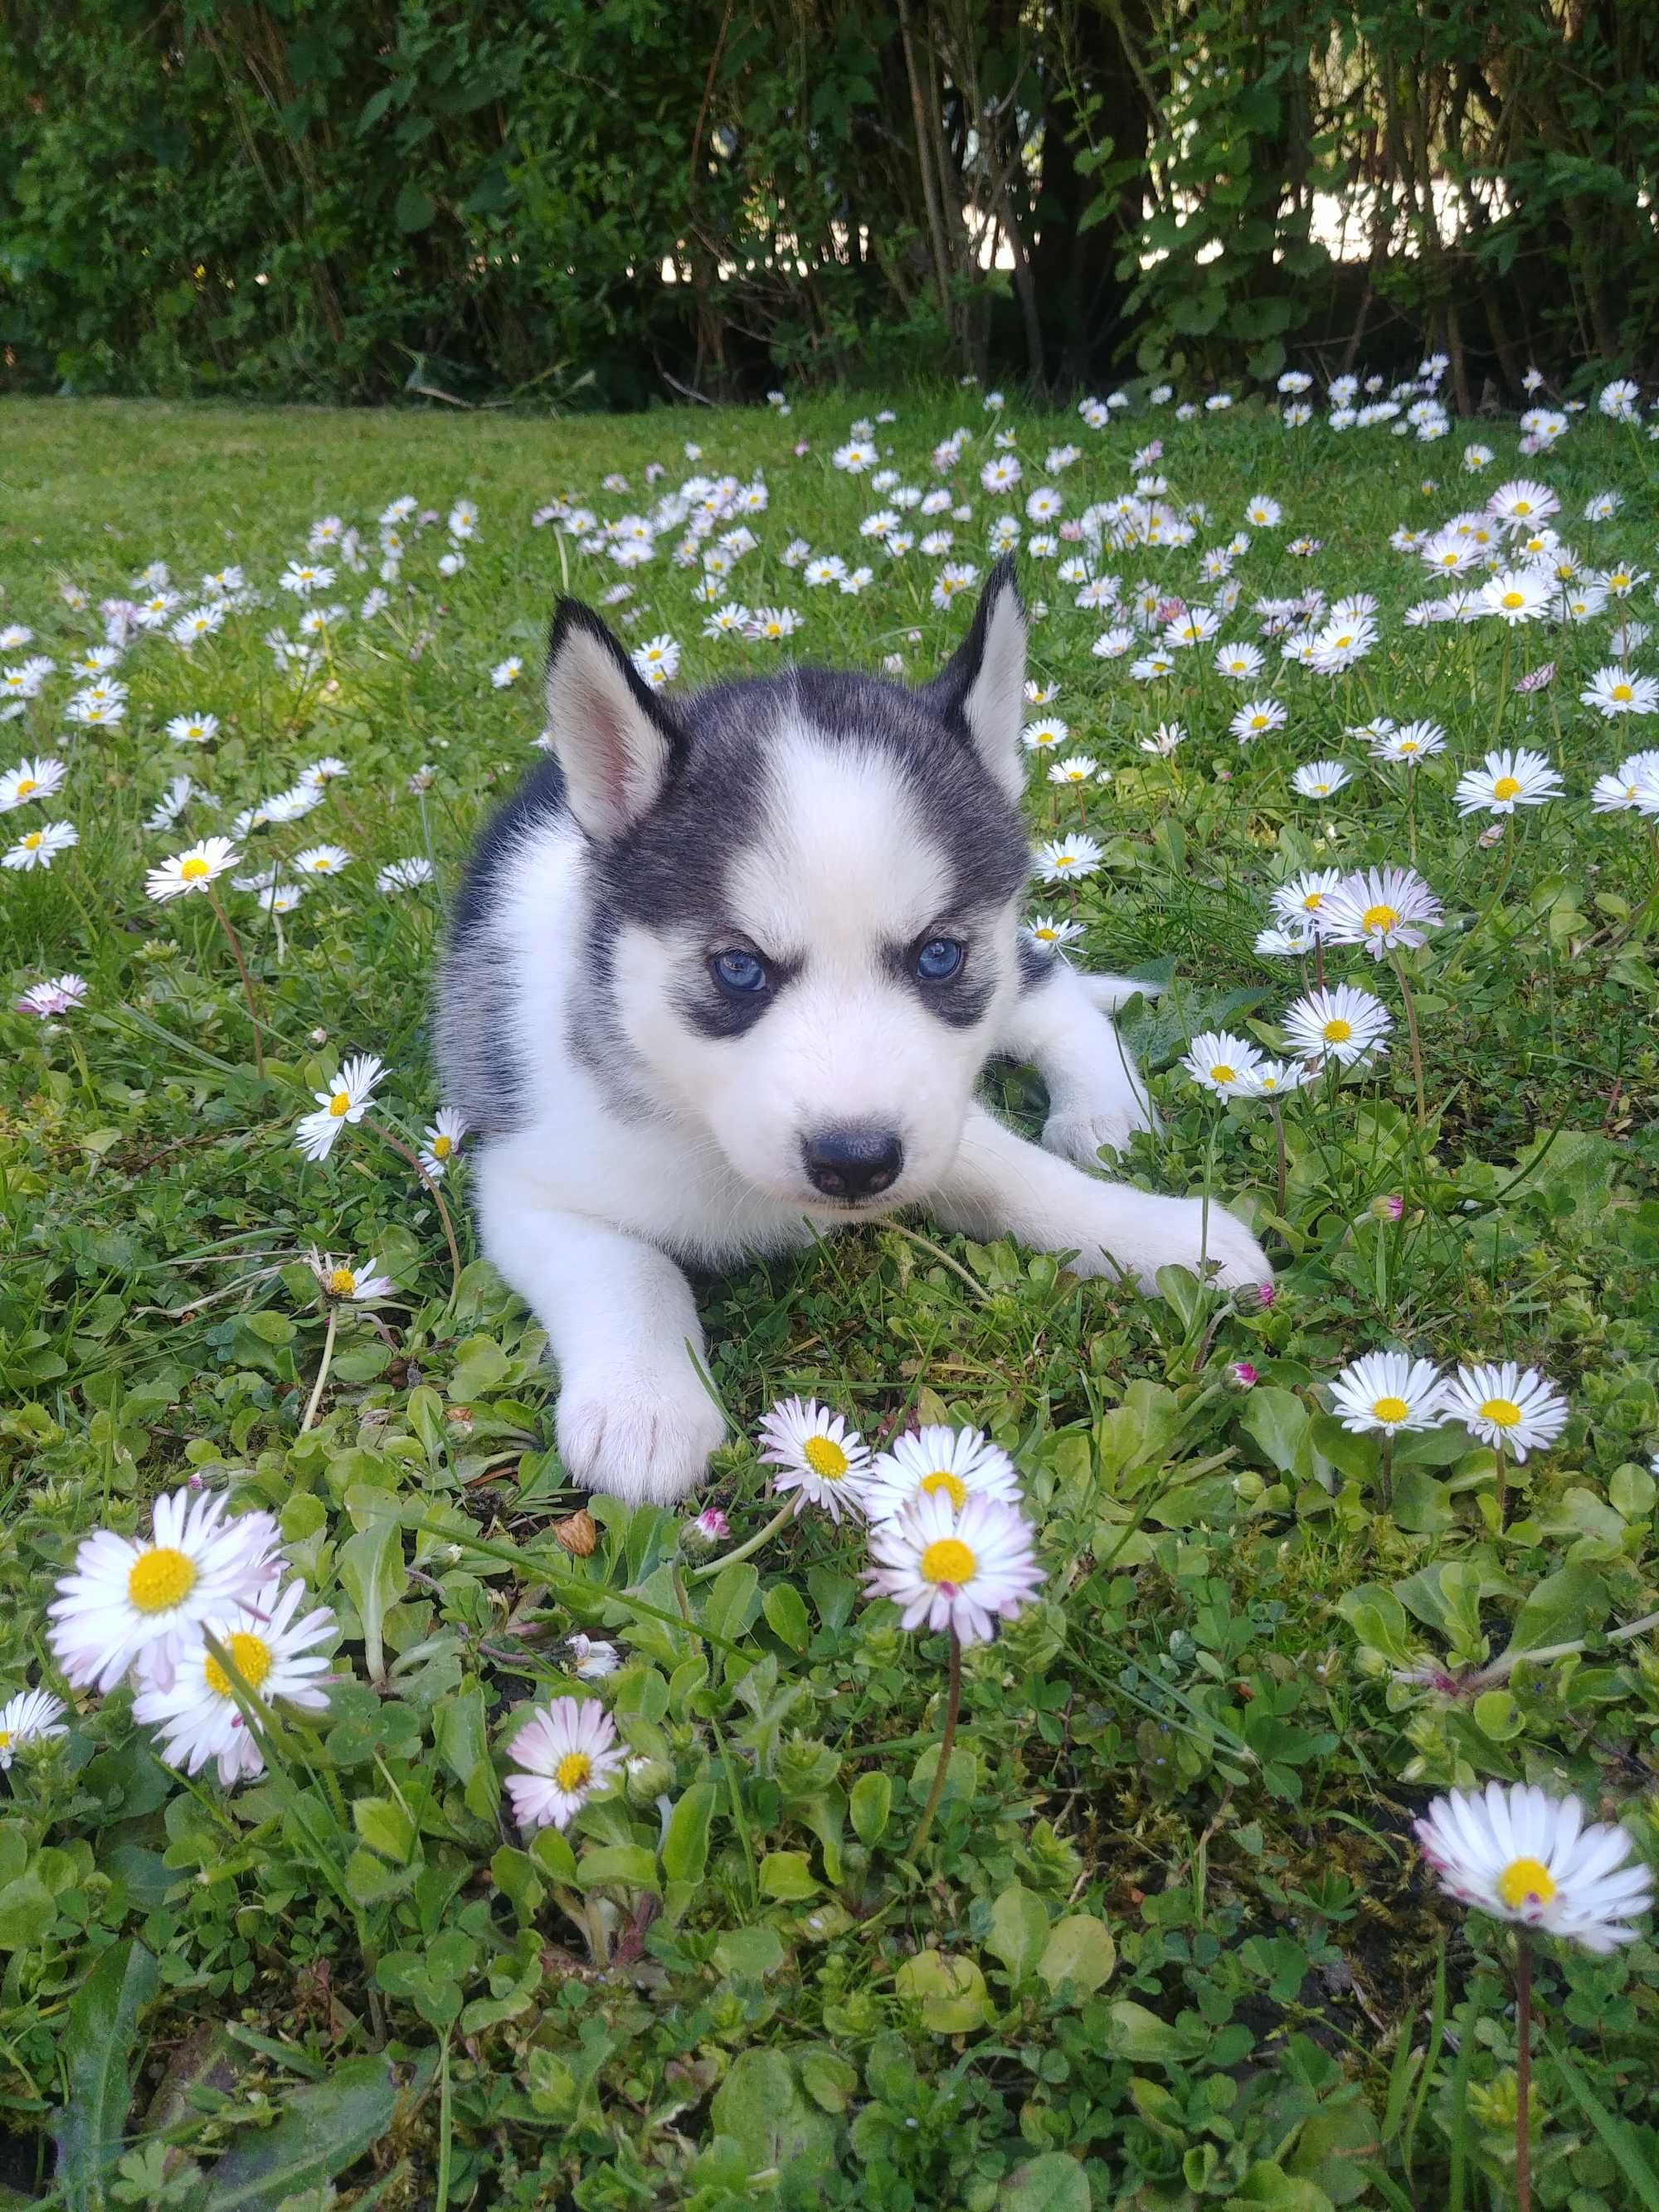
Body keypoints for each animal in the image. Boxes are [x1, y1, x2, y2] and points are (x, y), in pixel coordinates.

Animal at [442, 566, 1274, 1504]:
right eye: (738, 969)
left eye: (938, 955)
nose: (855, 1162)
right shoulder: (522, 1179)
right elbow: (625, 1266)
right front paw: (642, 1404)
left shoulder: (935, 1107)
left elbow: (1014, 1174)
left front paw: (1158, 1234)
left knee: (1052, 988)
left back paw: (1100, 1109)